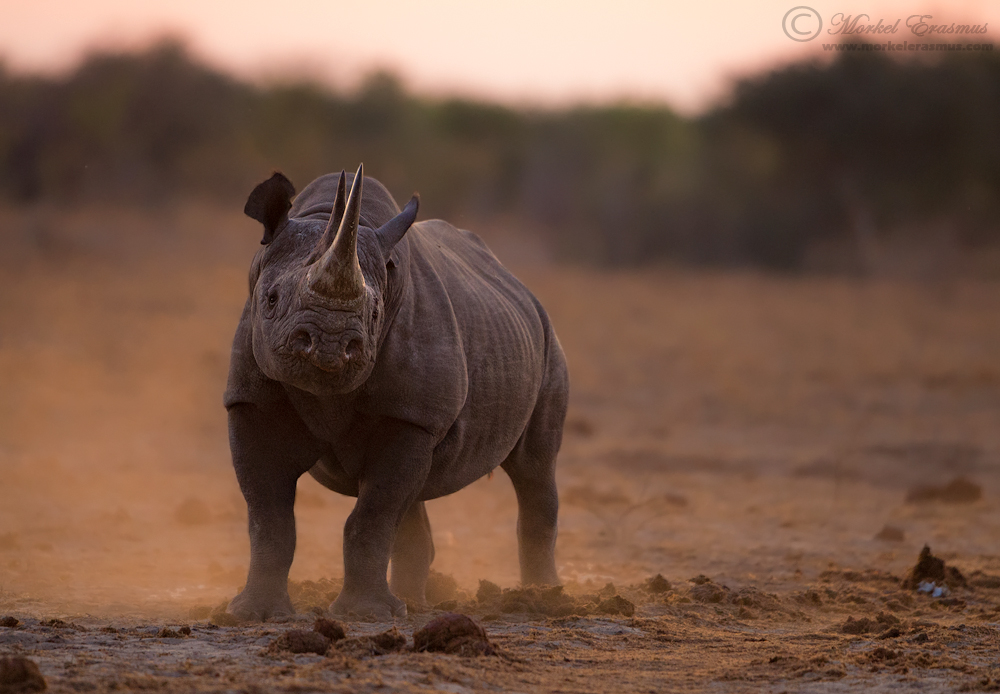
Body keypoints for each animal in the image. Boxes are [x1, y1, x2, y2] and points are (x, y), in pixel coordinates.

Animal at [224, 165, 569, 620]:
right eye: (270, 298)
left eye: (375, 314)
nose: (330, 343)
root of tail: (517, 282)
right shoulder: (250, 401)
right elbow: (268, 515)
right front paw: (255, 613)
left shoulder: (411, 415)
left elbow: (373, 513)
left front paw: (364, 615)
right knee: (414, 494)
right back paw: (414, 603)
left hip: (547, 338)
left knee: (534, 467)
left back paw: (542, 598)